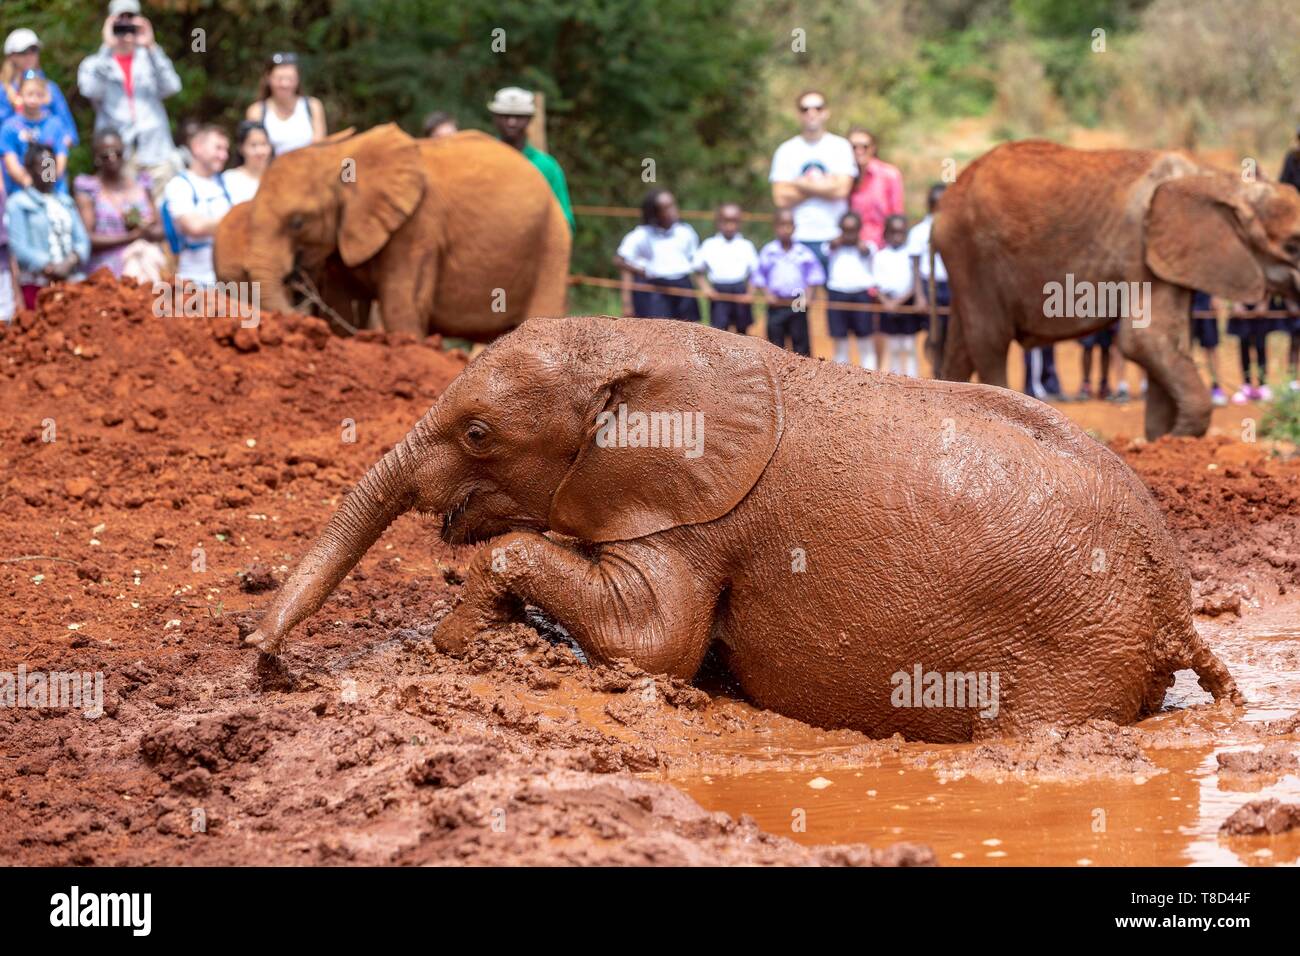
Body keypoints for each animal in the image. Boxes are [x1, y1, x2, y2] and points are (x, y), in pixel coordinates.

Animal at [237, 122, 569, 340]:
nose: (296, 281)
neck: (338, 154)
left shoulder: (417, 225)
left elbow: (402, 308)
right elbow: (343, 306)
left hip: (552, 240)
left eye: (298, 222)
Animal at [244, 317, 1237, 743]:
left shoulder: (697, 515)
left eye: (480, 434)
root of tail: (1175, 614)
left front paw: (455, 645)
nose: (264, 663)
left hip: (1074, 654)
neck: (644, 350)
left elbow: (657, 641)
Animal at [935, 140, 1300, 439]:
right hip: (973, 252)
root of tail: (945, 200)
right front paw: (1176, 437)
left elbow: (1169, 340)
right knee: (989, 342)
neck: (1224, 181)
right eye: (1292, 245)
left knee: (960, 345)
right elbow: (1144, 340)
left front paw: (1163, 443)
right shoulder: (1141, 248)